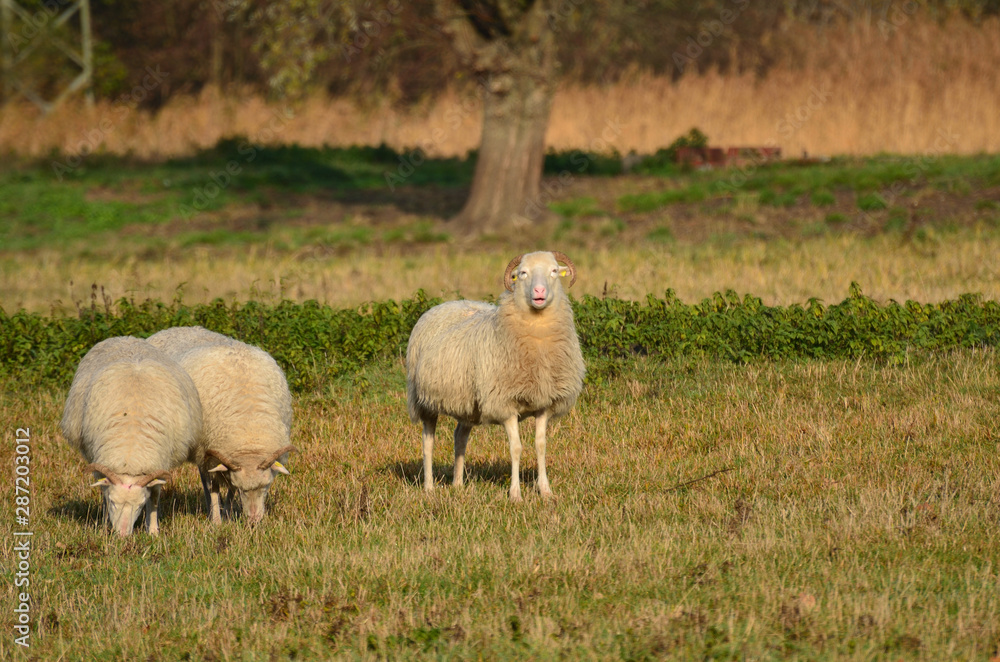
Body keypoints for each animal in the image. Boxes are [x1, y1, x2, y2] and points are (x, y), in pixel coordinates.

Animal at [59, 338, 204, 540]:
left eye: (140, 505)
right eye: (113, 502)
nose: (122, 535)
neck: (131, 451)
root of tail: (126, 337)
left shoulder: (158, 466)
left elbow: (155, 497)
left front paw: (153, 530)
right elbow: (103, 492)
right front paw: (104, 525)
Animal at [145, 326, 294, 524]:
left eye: (266, 486)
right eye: (243, 490)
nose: (253, 521)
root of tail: (171, 329)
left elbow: (229, 486)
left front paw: (228, 513)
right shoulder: (211, 453)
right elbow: (214, 487)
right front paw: (217, 520)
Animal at [406, 252, 584, 500]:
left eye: (554, 271)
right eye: (523, 273)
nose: (539, 291)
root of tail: (448, 303)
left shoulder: (544, 403)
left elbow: (540, 446)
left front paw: (546, 491)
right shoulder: (505, 403)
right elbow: (516, 448)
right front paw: (515, 494)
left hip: (468, 405)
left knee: (460, 437)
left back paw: (458, 484)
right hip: (424, 400)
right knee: (428, 442)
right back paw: (429, 487)